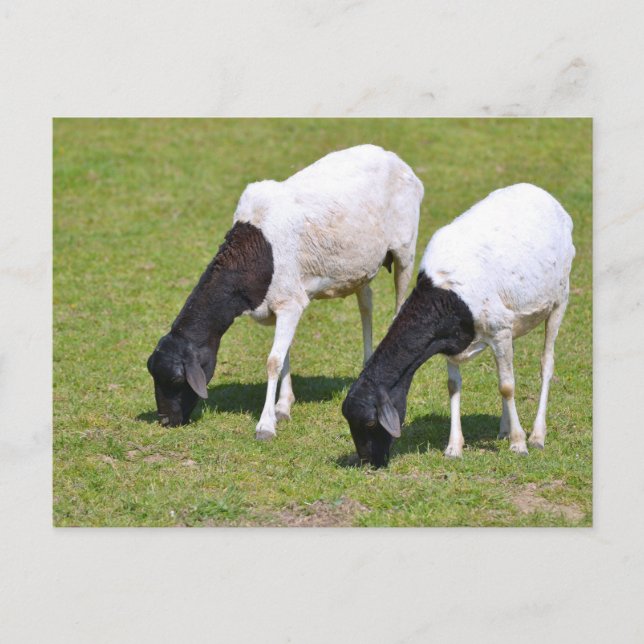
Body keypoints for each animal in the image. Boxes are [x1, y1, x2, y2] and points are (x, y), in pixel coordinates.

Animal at [147, 144, 424, 438]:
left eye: (177, 378)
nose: (166, 420)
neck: (255, 252)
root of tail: (393, 158)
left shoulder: (290, 302)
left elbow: (273, 361)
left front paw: (266, 425)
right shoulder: (285, 303)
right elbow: (284, 353)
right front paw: (283, 406)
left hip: (405, 249)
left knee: (397, 309)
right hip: (360, 266)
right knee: (366, 304)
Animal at [342, 183, 575, 467]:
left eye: (371, 423)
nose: (368, 462)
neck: (444, 294)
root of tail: (541, 192)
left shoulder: (498, 330)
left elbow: (507, 386)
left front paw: (519, 443)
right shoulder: (451, 341)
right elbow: (455, 386)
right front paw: (454, 447)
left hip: (560, 298)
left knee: (546, 364)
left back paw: (537, 435)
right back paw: (504, 428)